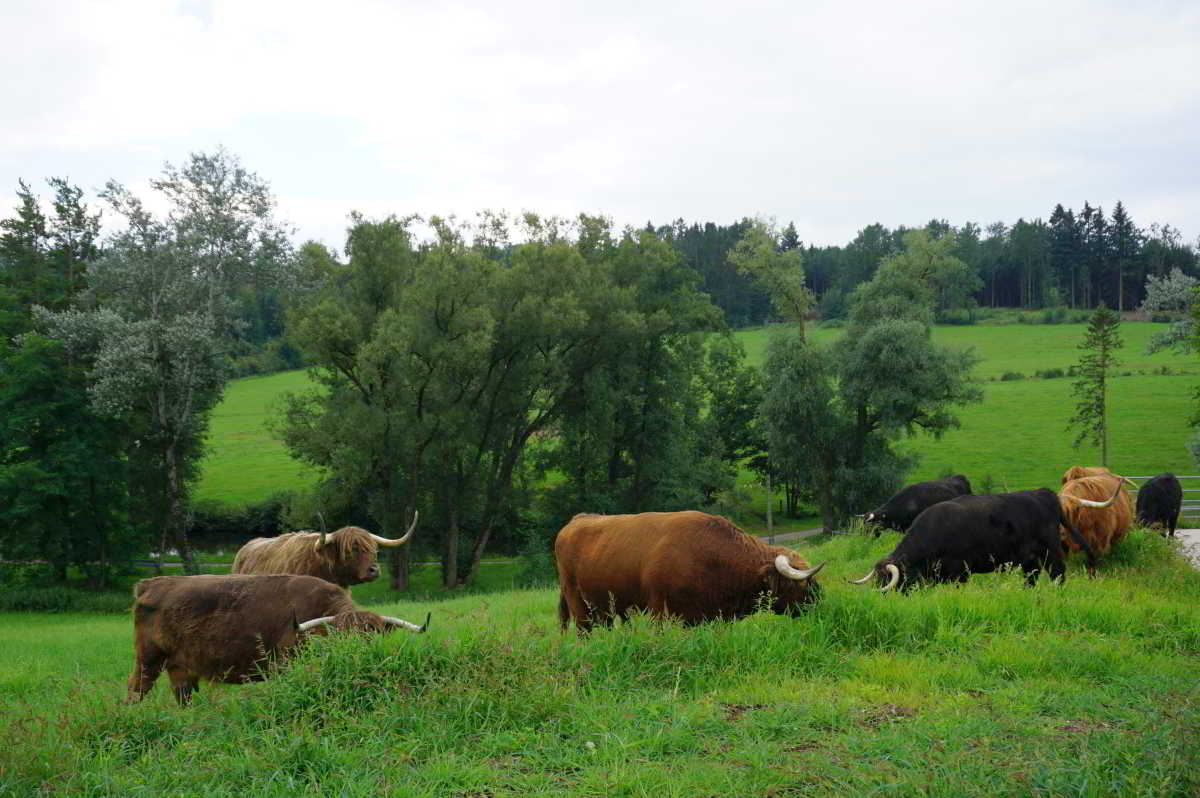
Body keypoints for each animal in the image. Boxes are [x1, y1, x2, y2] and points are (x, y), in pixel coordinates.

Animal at [125, 573, 427, 705]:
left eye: (372, 636)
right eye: (341, 638)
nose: (359, 659)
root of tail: (154, 583)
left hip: (180, 667)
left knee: (182, 695)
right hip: (148, 660)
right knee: (136, 689)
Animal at [552, 511, 825, 633]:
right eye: (803, 583)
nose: (819, 601)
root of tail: (576, 521)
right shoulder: (659, 609)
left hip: (603, 608)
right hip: (577, 601)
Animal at [844, 484, 1099, 590]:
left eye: (888, 580)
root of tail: (1045, 494)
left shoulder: (960, 572)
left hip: (1050, 551)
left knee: (1058, 573)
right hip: (1030, 559)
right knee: (1032, 576)